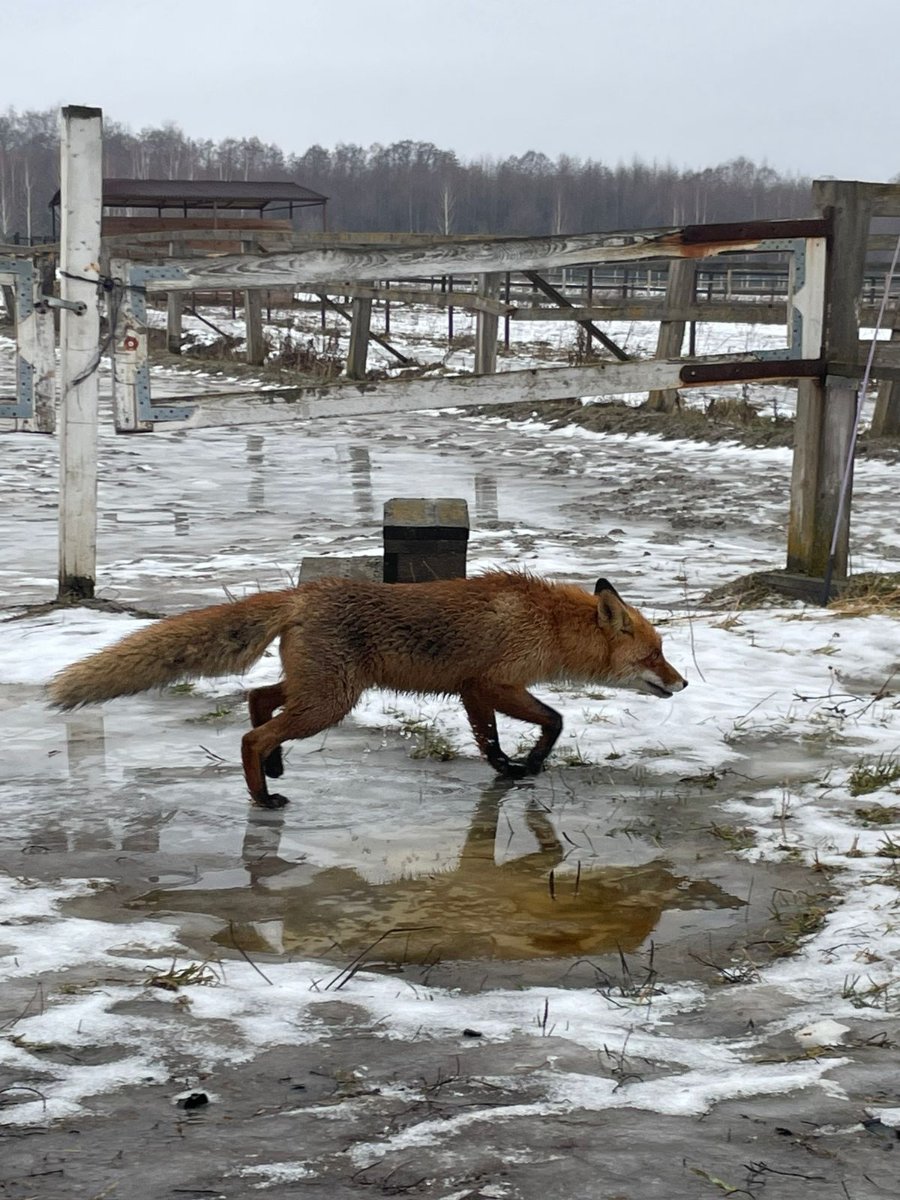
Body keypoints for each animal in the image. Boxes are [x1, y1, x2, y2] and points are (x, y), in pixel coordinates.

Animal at [48, 572, 687, 808]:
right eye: (655, 654)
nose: (681, 683)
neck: (548, 625)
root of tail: (305, 594)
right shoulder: (489, 683)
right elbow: (551, 722)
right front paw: (523, 767)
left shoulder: (472, 691)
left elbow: (493, 740)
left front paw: (510, 769)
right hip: (332, 700)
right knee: (253, 735)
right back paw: (263, 795)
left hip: (321, 691)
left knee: (258, 701)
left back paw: (275, 769)